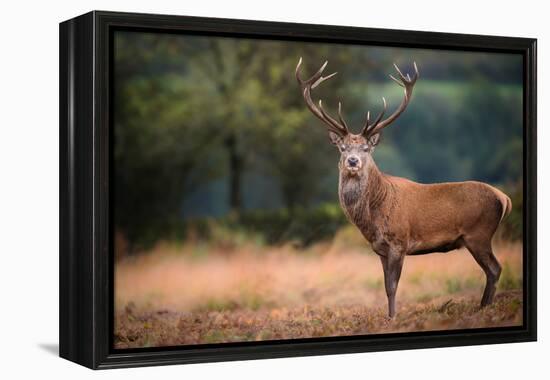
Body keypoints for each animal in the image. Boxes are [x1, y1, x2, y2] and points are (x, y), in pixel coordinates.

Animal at [296, 58, 516, 318]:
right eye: (343, 148)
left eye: (366, 149)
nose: (352, 161)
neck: (373, 215)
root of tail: (504, 198)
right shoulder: (380, 249)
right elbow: (385, 286)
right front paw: (389, 316)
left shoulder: (399, 241)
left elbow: (392, 286)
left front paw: (393, 318)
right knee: (493, 269)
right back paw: (483, 307)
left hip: (479, 233)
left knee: (495, 268)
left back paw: (484, 309)